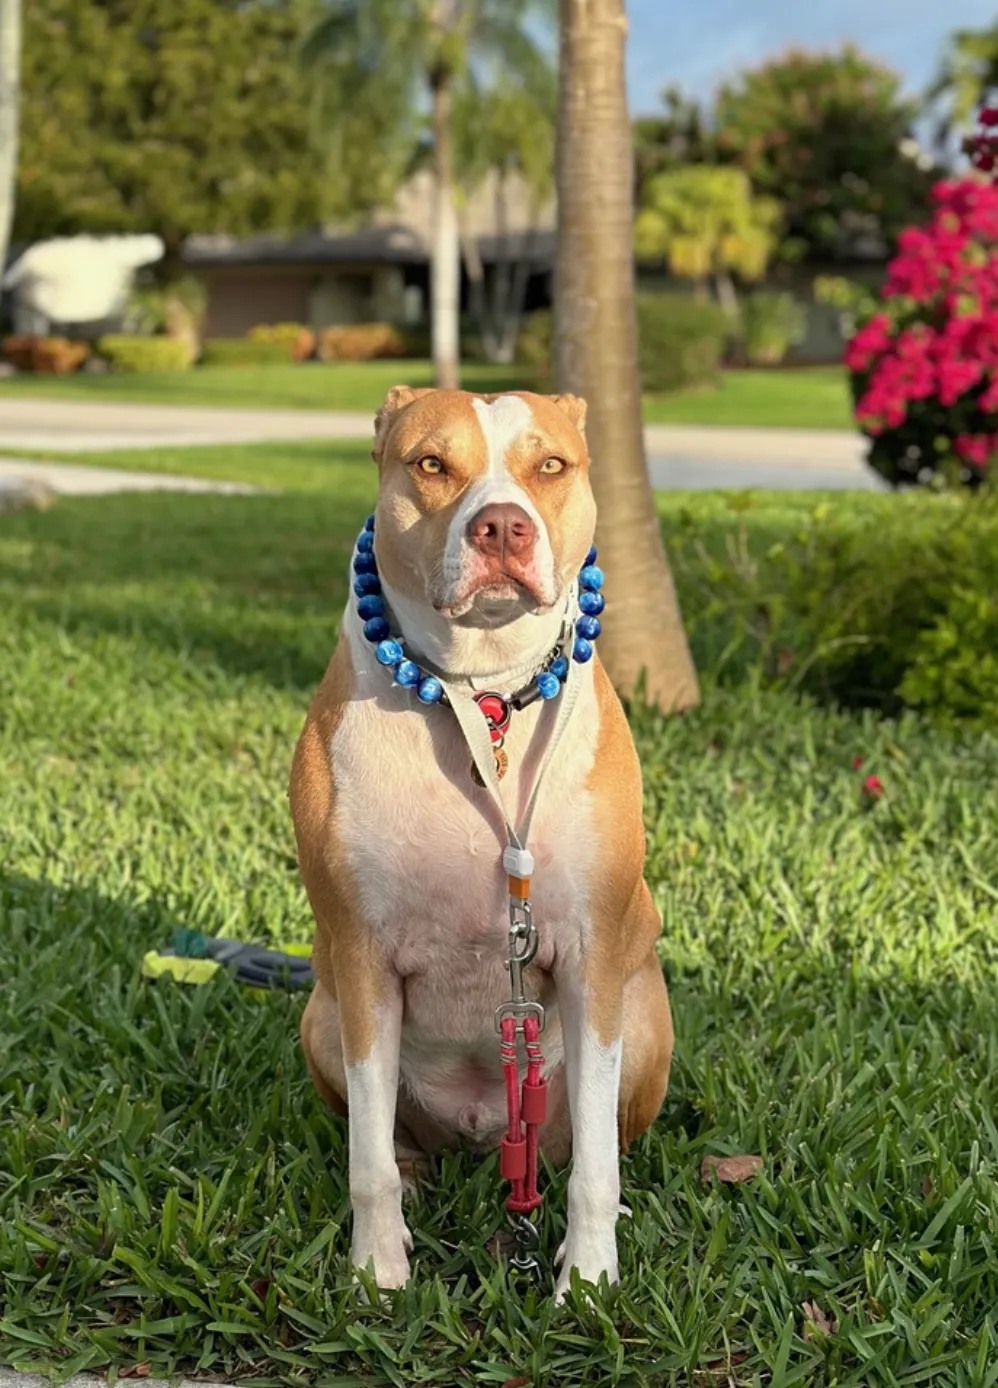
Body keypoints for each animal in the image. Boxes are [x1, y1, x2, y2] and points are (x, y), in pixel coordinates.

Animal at [292, 385, 674, 1293]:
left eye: (552, 465)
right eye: (431, 463)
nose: (503, 526)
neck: (485, 695)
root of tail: (479, 1127)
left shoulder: (593, 957)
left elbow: (598, 1167)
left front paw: (589, 1282)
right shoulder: (360, 957)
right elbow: (366, 1159)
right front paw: (377, 1272)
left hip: (645, 1018)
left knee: (587, 1145)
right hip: (322, 1014)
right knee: (397, 1137)